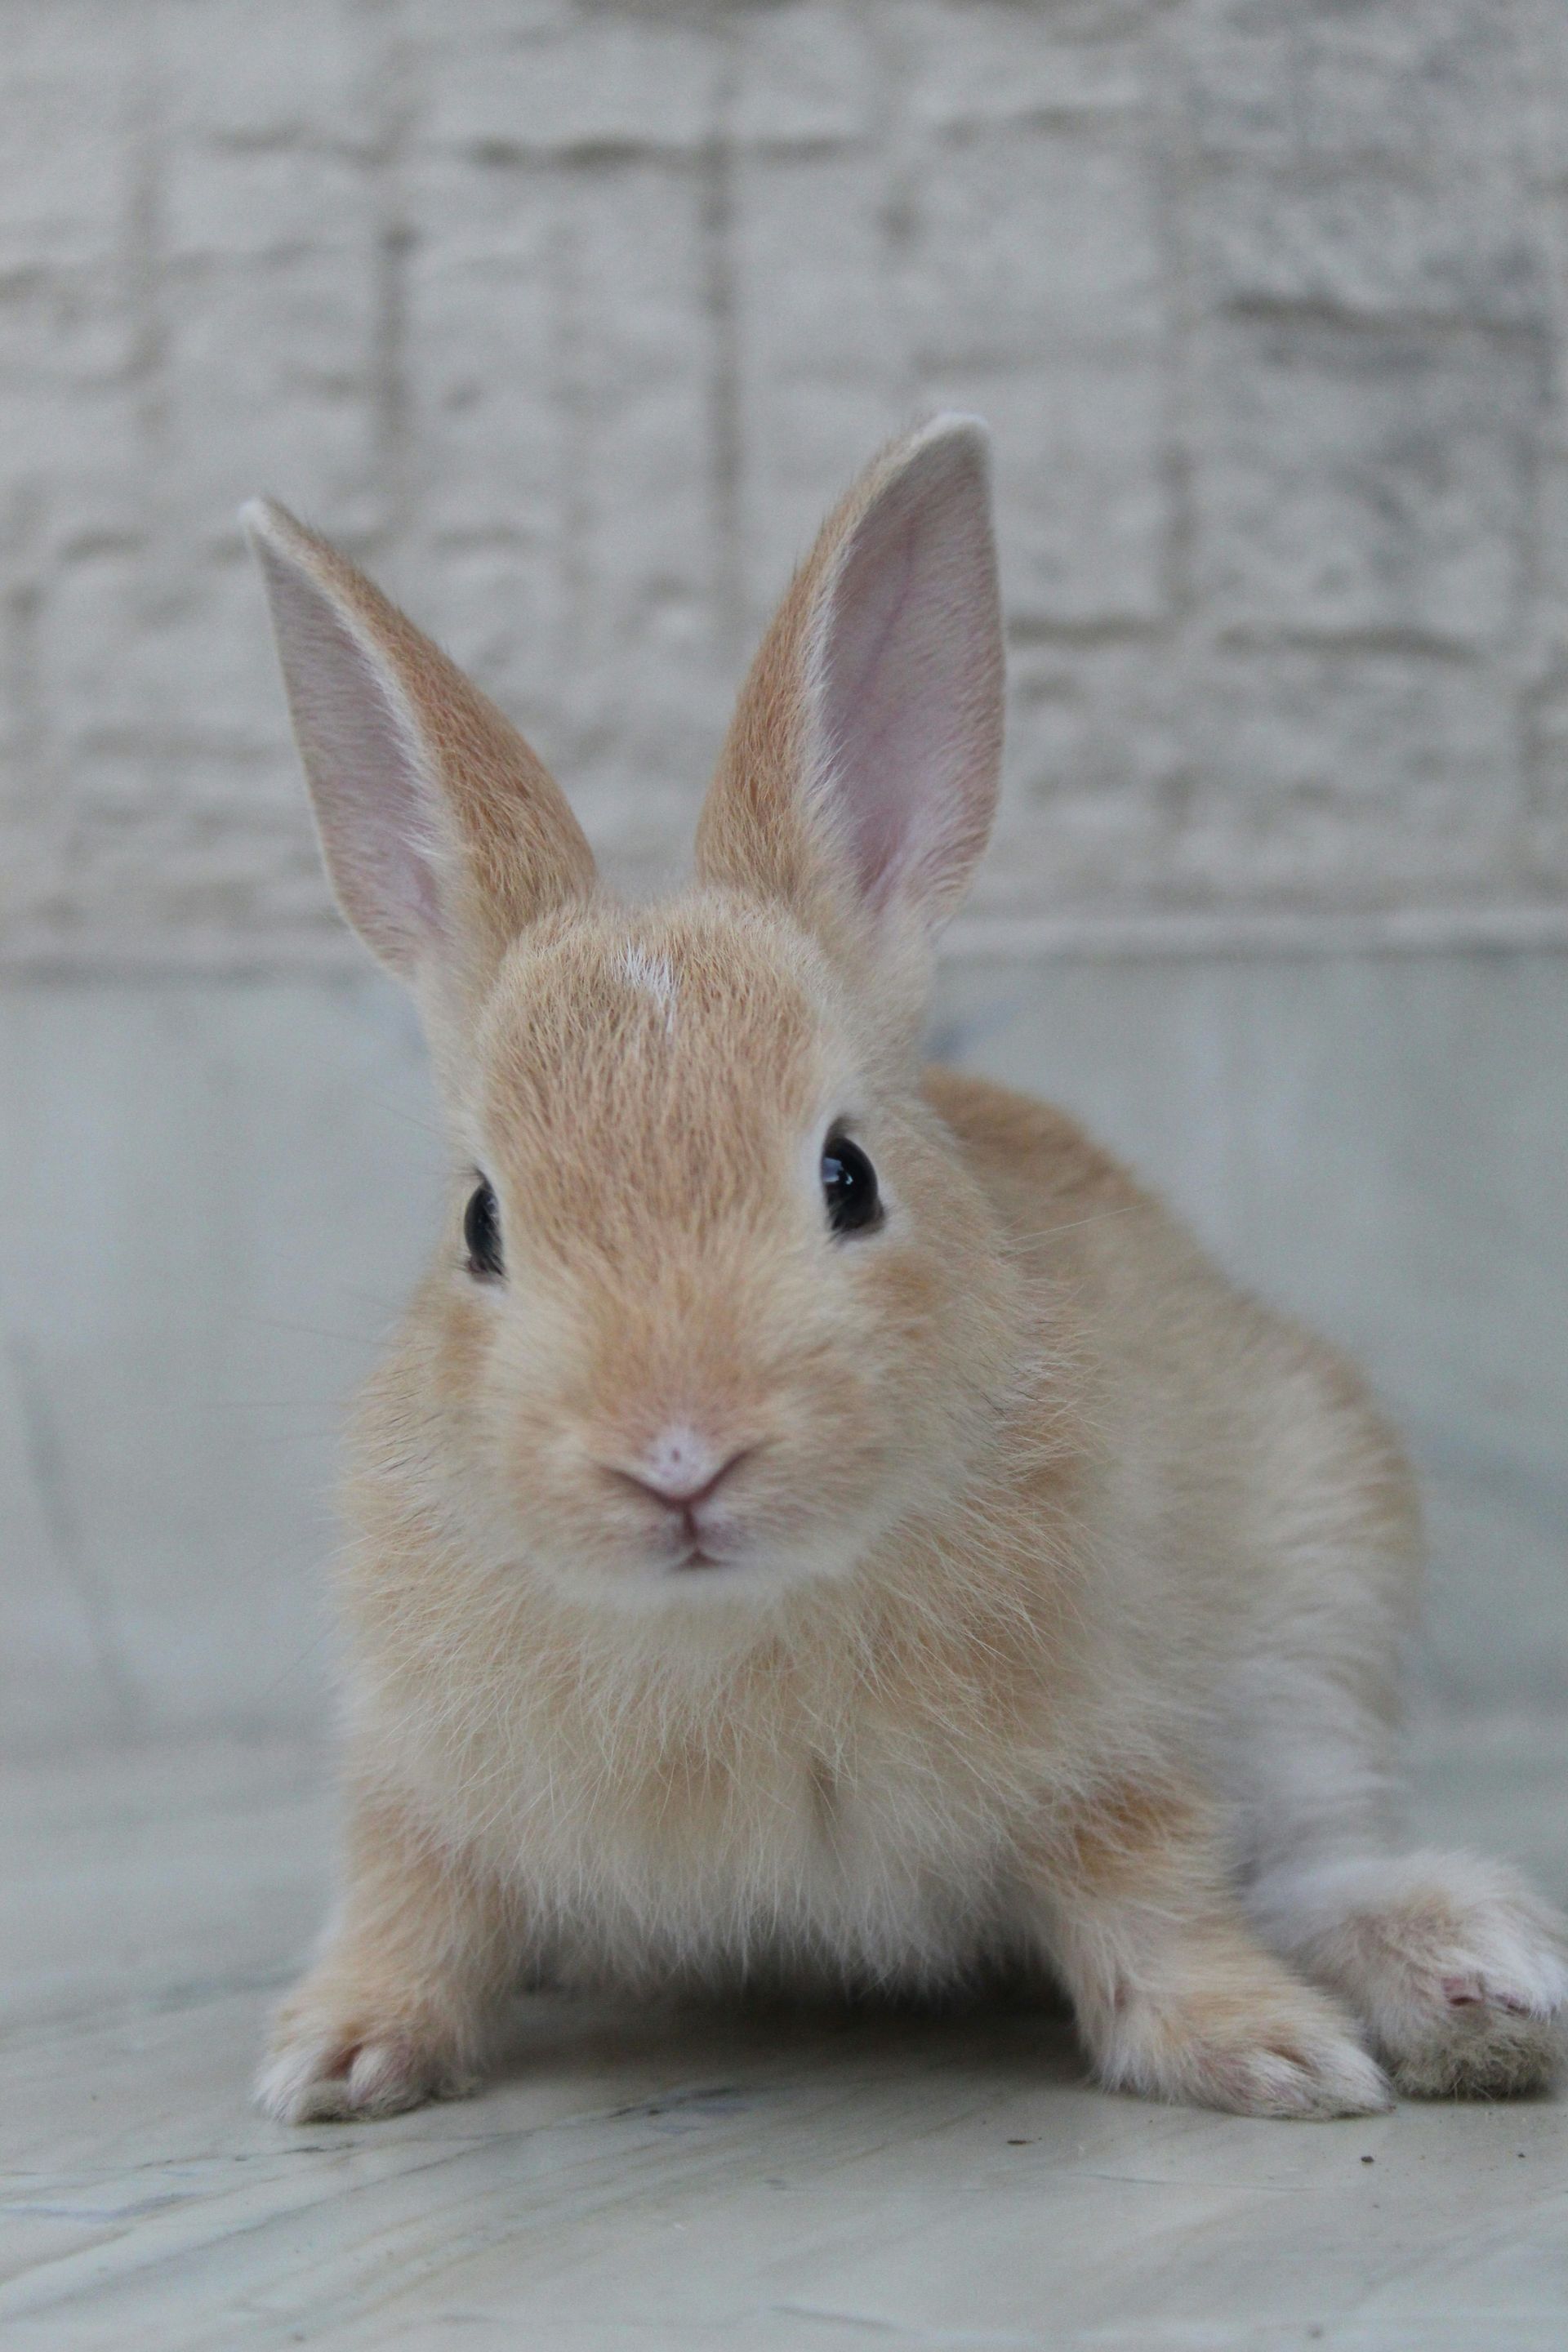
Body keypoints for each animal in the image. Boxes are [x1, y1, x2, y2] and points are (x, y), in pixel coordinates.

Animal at [243, 417, 1565, 2127]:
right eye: (482, 1222)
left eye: (846, 1177)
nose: (679, 1455)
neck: (727, 1617)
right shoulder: (421, 1776)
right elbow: (413, 1897)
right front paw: (337, 2058)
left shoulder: (1110, 1748)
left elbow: (1153, 1891)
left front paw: (1274, 2056)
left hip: (1314, 1598)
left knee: (1309, 1853)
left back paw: (1479, 1980)